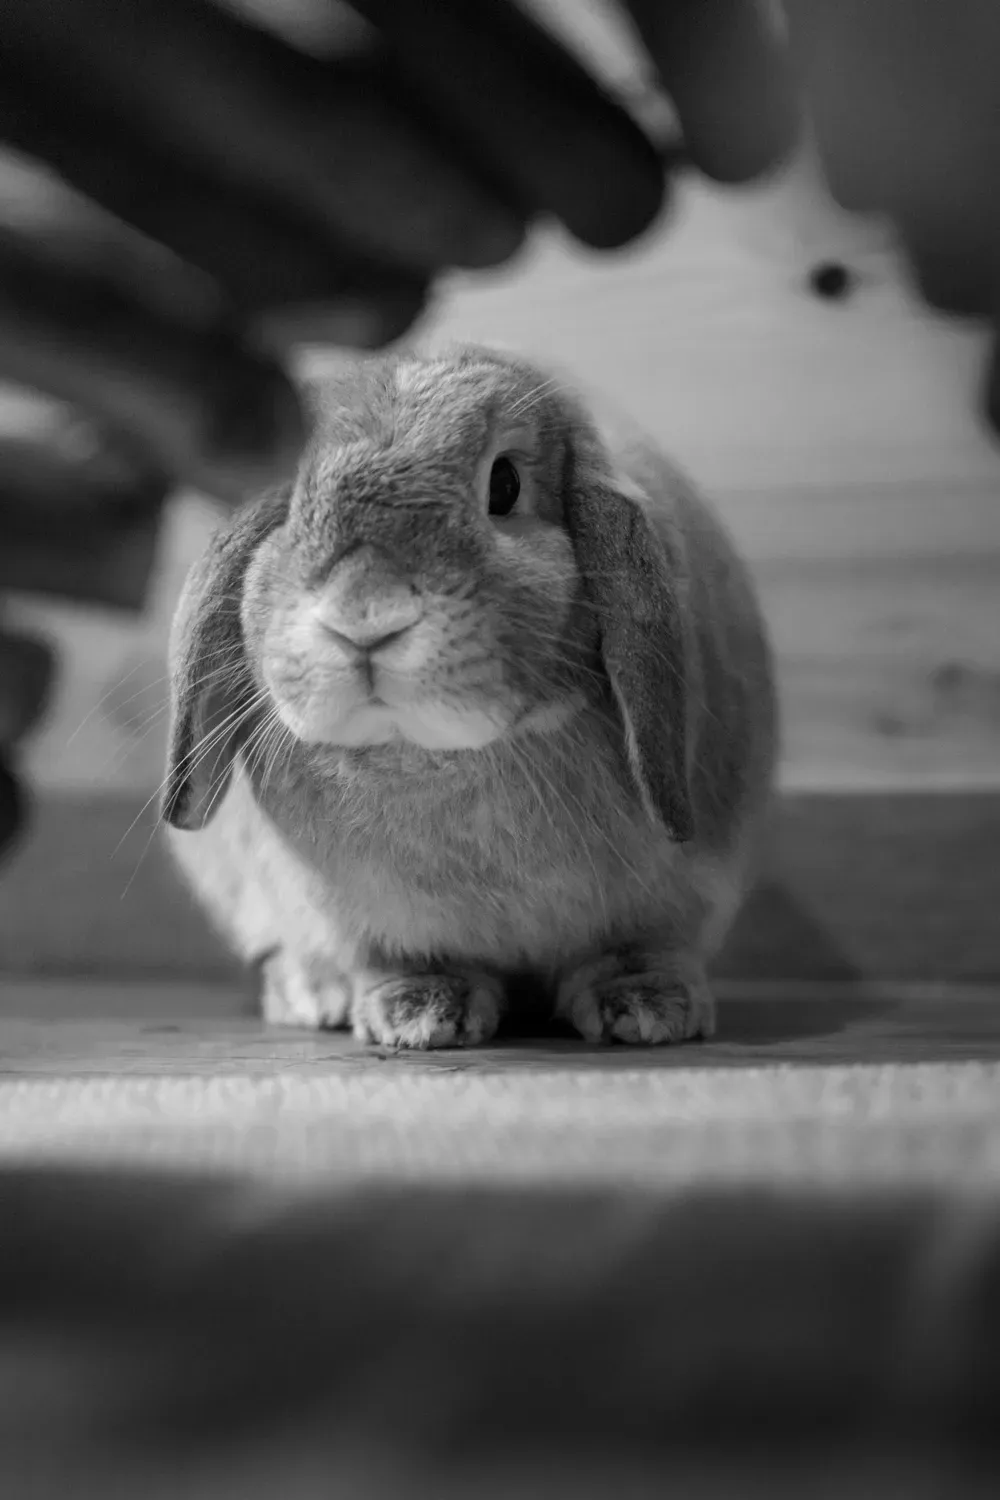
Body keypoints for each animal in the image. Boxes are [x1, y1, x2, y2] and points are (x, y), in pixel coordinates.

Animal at [162, 344, 777, 1049]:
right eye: (290, 502)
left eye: (503, 486)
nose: (363, 616)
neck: (422, 754)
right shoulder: (376, 922)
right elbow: (406, 960)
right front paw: (420, 1017)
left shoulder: (670, 901)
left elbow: (635, 950)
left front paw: (650, 1012)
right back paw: (314, 996)